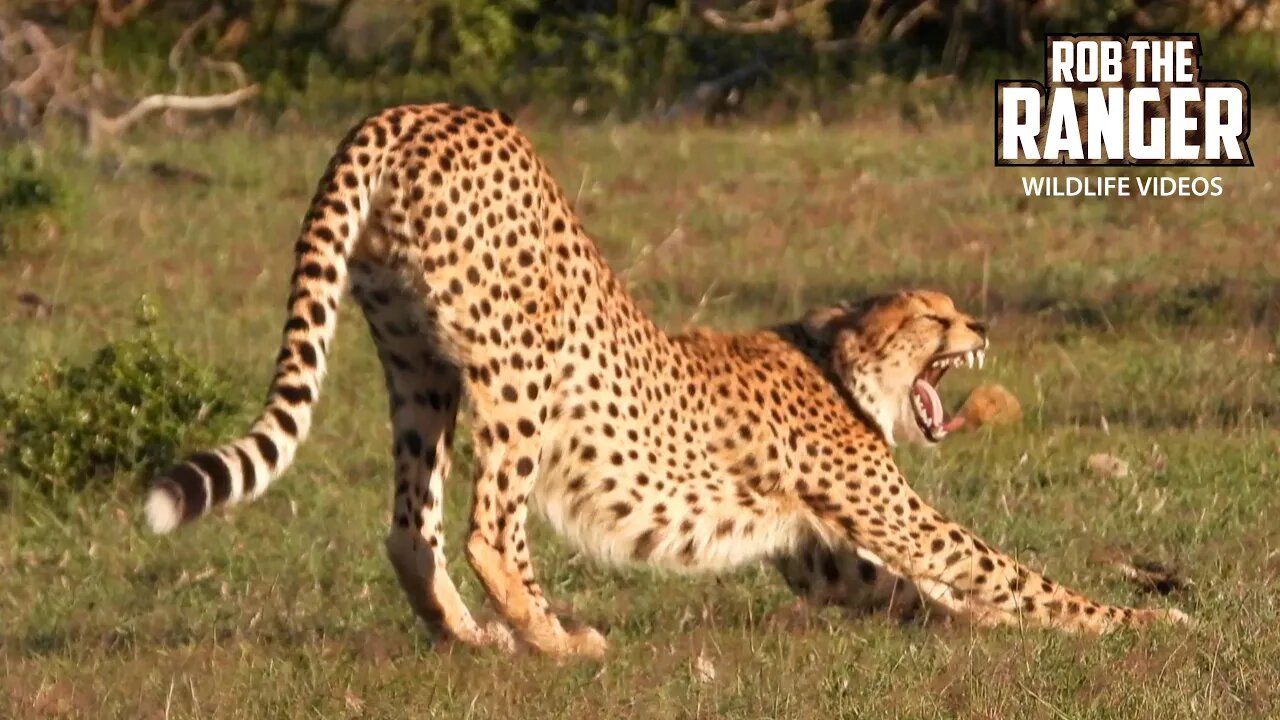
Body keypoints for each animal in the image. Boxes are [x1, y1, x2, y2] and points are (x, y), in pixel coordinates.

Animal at [147, 102, 1187, 655]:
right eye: (934, 316)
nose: (979, 326)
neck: (836, 360)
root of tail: (421, 109)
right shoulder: (888, 513)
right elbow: (1004, 568)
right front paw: (1140, 619)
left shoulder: (816, 544)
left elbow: (924, 587)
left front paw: (987, 624)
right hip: (523, 366)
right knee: (491, 525)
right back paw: (557, 641)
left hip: (417, 362)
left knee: (412, 525)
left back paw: (469, 639)